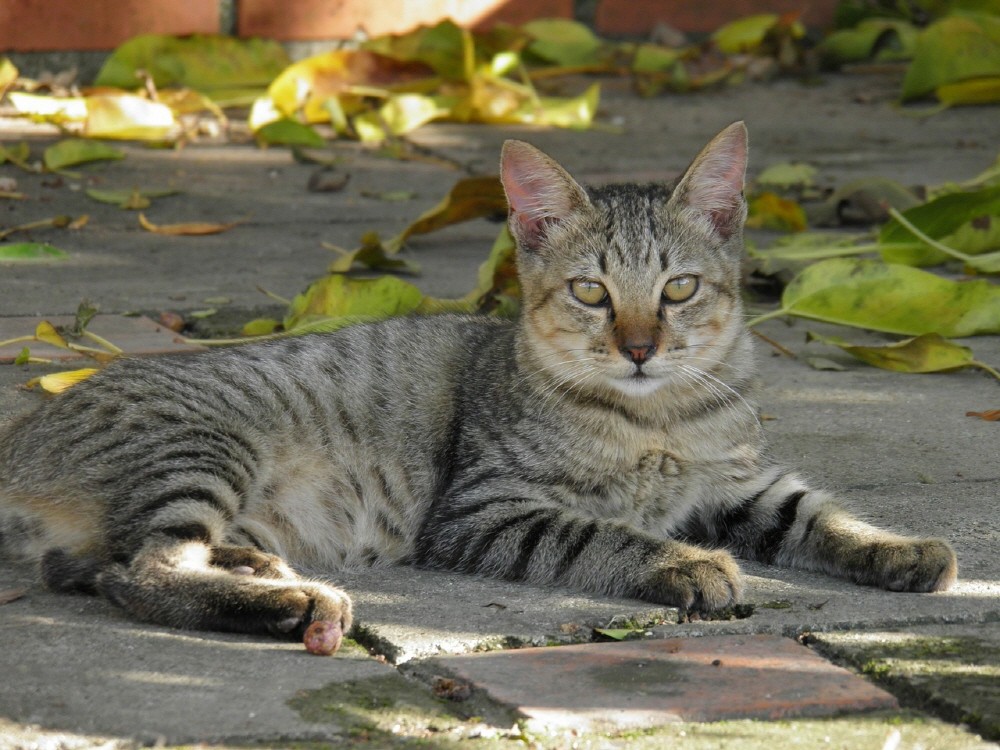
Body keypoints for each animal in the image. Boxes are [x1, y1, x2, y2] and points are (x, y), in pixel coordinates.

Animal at [0, 122, 952, 640]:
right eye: (591, 292)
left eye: (679, 289)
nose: (641, 347)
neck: (660, 424)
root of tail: (19, 436)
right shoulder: (484, 511)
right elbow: (603, 536)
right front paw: (685, 562)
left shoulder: (745, 484)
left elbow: (823, 515)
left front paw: (901, 549)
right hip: (200, 448)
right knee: (141, 570)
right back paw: (294, 604)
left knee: (98, 564)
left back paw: (260, 565)